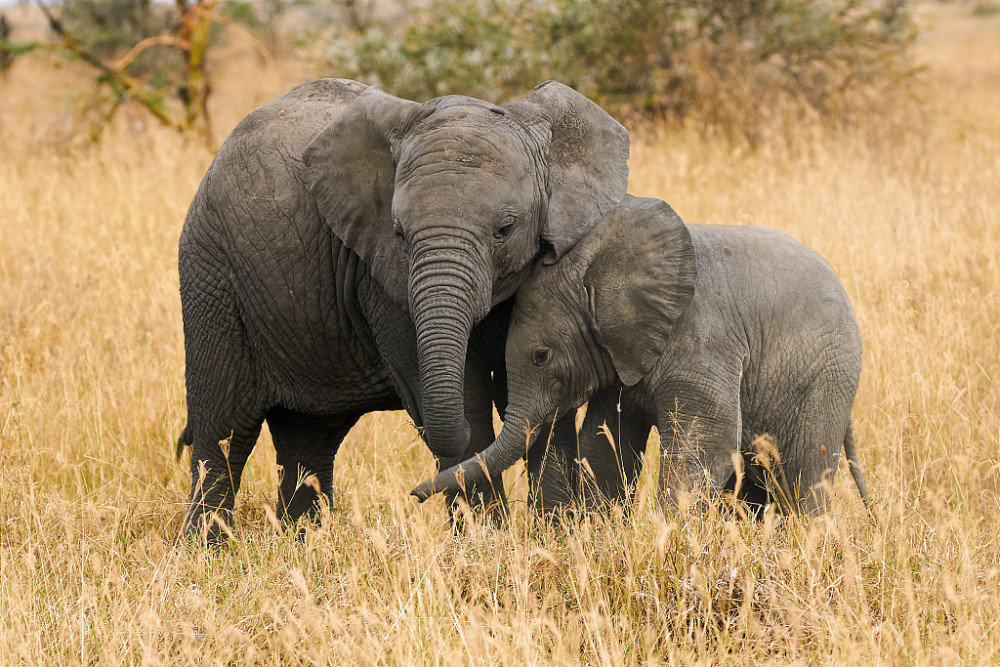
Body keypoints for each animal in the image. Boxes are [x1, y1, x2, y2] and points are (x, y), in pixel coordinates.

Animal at [173, 78, 624, 540]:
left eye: (506, 229)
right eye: (399, 233)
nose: (414, 494)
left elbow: (546, 396)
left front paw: (558, 536)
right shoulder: (383, 280)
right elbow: (467, 398)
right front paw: (486, 542)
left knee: (308, 440)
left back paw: (305, 542)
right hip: (211, 274)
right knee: (224, 431)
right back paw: (207, 549)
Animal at [412, 196, 868, 516]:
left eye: (541, 356)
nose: (414, 494)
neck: (597, 269)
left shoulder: (702, 341)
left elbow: (706, 446)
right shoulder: (620, 356)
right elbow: (604, 443)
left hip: (827, 378)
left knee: (805, 475)